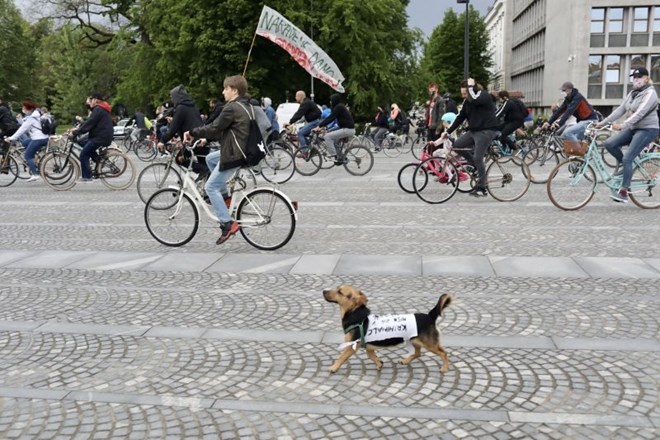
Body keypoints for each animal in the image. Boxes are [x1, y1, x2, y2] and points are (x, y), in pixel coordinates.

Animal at [324, 284, 454, 372]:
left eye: (340, 292)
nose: (323, 291)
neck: (354, 313)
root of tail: (430, 316)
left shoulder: (351, 346)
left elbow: (341, 357)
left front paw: (333, 367)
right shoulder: (368, 346)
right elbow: (371, 356)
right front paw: (379, 363)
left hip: (429, 344)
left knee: (443, 353)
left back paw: (445, 368)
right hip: (415, 341)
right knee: (418, 353)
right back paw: (405, 360)